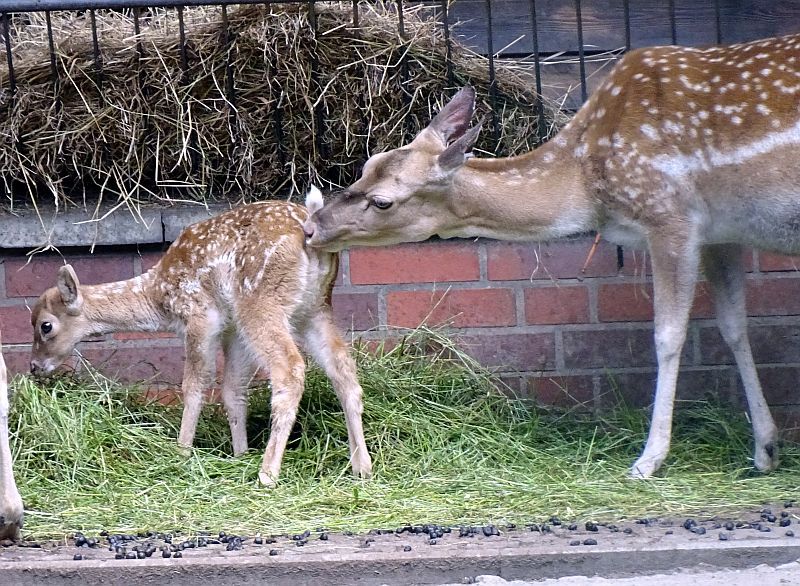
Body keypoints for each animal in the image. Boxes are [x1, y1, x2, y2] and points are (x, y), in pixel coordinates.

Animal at [28, 188, 372, 484]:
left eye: (46, 326)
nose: (34, 366)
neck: (158, 295)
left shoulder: (199, 315)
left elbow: (194, 386)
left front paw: (181, 451)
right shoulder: (232, 329)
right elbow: (232, 390)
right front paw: (239, 454)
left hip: (260, 303)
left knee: (290, 368)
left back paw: (268, 474)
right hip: (313, 308)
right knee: (343, 367)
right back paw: (361, 466)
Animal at [304, 33, 800, 474]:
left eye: (383, 201)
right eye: (368, 164)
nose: (313, 226)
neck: (588, 184)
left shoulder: (671, 216)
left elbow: (668, 335)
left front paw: (649, 460)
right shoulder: (721, 232)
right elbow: (735, 326)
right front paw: (765, 450)